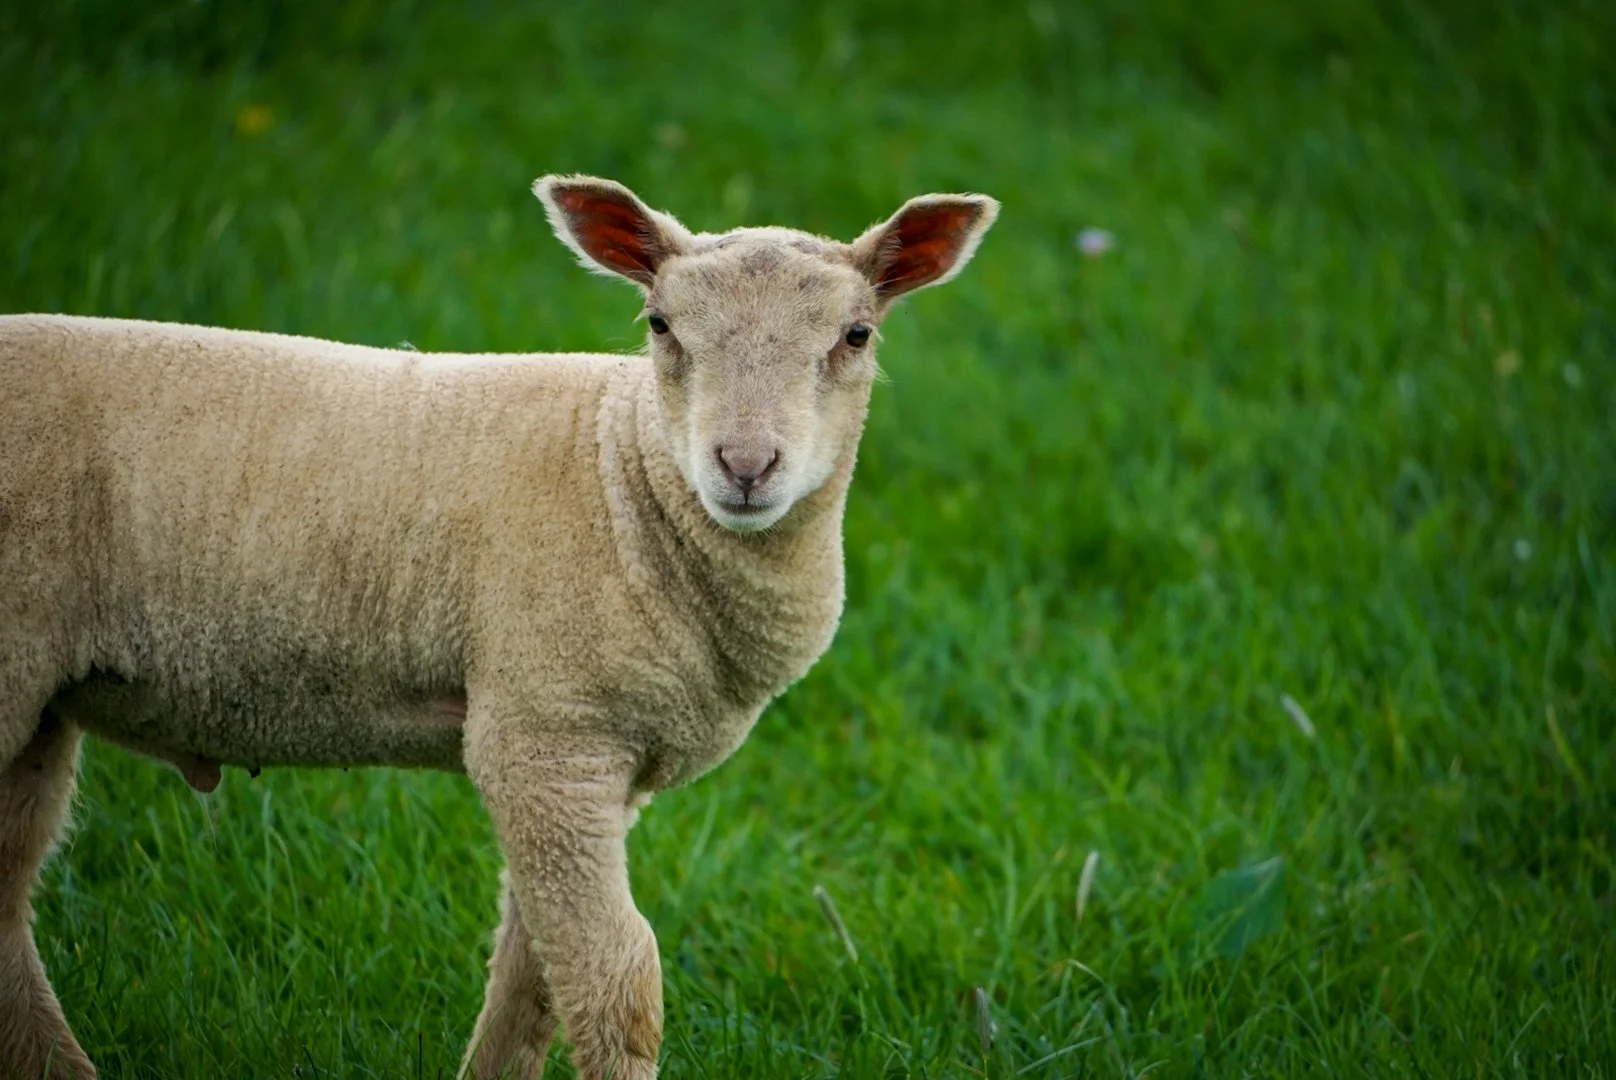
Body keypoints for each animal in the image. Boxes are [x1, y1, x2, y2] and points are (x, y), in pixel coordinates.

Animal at [0, 174, 999, 1080]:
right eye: (659, 325)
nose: (746, 466)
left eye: (856, 335)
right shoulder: (544, 732)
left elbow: (532, 980)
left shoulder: (597, 757)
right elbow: (614, 981)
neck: (626, 477)